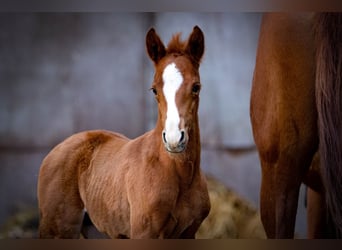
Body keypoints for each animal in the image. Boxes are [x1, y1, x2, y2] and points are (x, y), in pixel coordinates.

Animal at [37, 26, 210, 239]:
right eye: (154, 90)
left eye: (196, 87)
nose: (173, 139)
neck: (181, 176)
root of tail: (56, 149)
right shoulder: (145, 233)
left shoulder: (188, 233)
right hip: (58, 228)